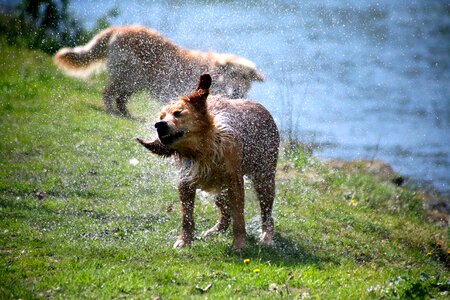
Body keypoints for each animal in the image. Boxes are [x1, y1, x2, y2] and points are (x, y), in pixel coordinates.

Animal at [52, 24, 264, 116]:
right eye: (233, 74)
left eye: (245, 78)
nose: (237, 90)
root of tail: (119, 28)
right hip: (130, 76)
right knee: (108, 92)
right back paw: (112, 111)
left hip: (135, 81)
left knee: (120, 98)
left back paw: (126, 114)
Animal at [135, 74, 280, 250]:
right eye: (161, 117)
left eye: (177, 113)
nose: (159, 125)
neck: (202, 151)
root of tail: (263, 108)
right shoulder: (185, 180)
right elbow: (187, 216)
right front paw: (184, 241)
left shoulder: (234, 181)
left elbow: (239, 217)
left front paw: (239, 244)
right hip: (221, 189)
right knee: (225, 214)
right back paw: (215, 231)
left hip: (264, 178)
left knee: (266, 213)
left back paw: (266, 237)